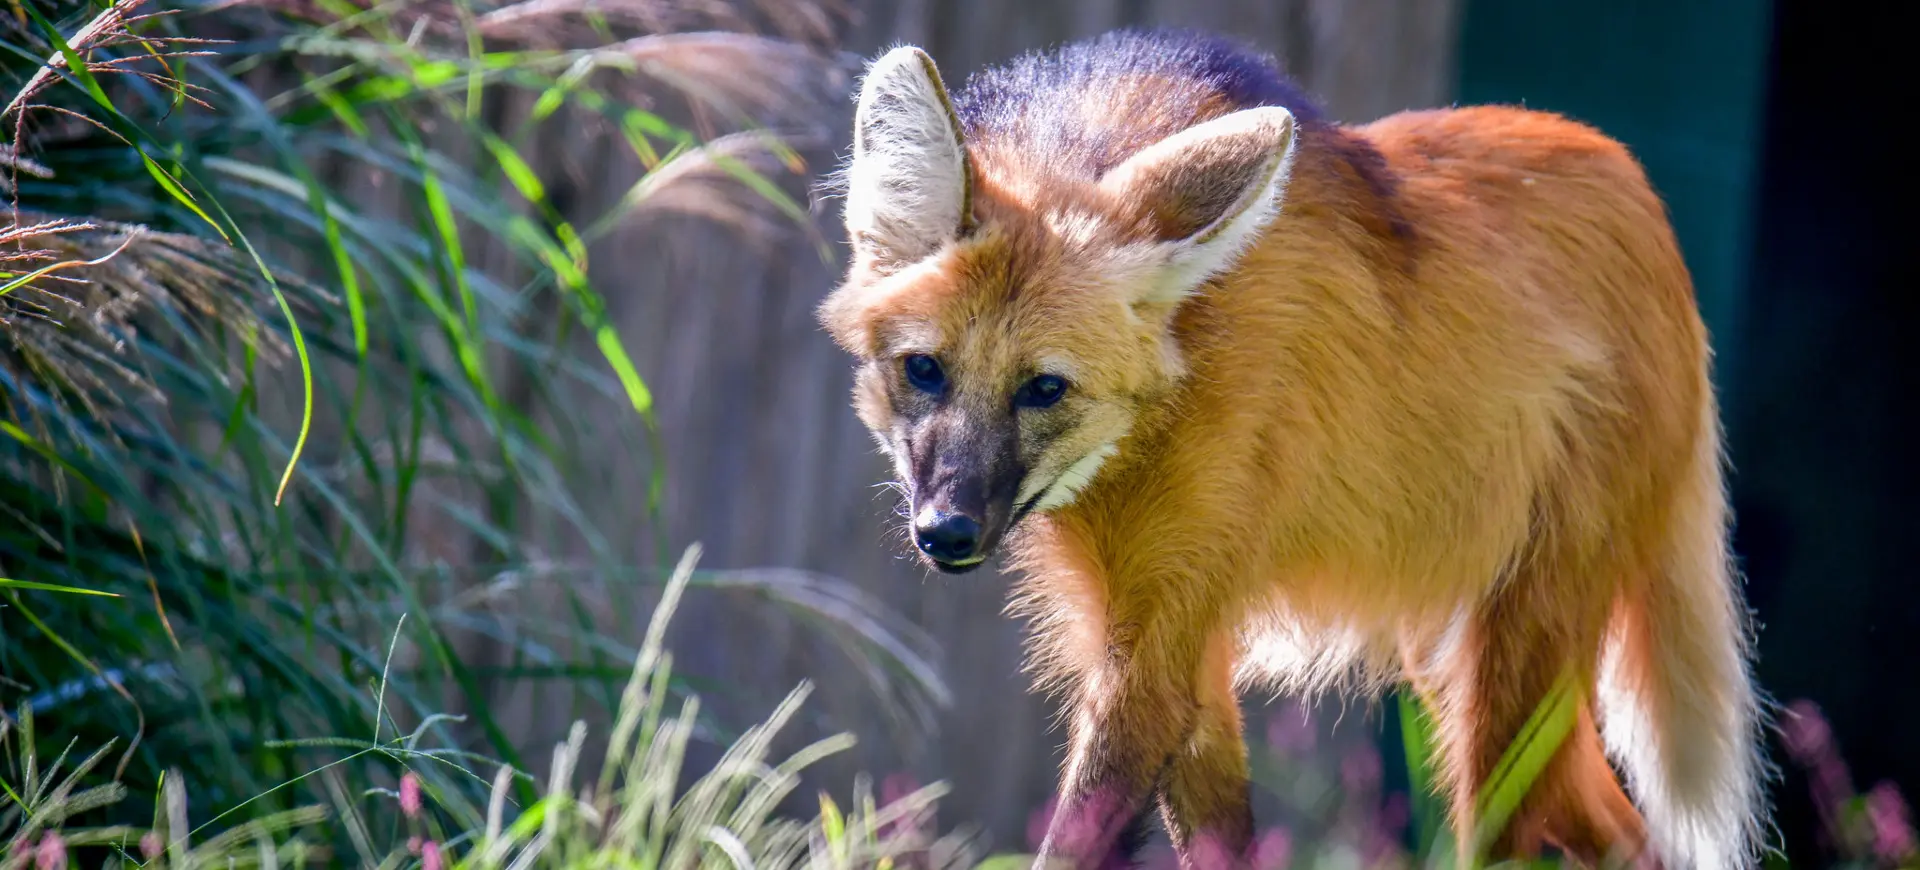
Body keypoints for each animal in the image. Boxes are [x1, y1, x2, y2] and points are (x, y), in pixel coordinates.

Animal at [817, 27, 1758, 868]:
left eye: (1044, 388)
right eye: (925, 370)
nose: (946, 533)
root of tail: (1641, 190)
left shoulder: (1159, 638)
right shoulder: (1164, 637)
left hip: (1512, 671)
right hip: (1448, 649)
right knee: (1619, 830)